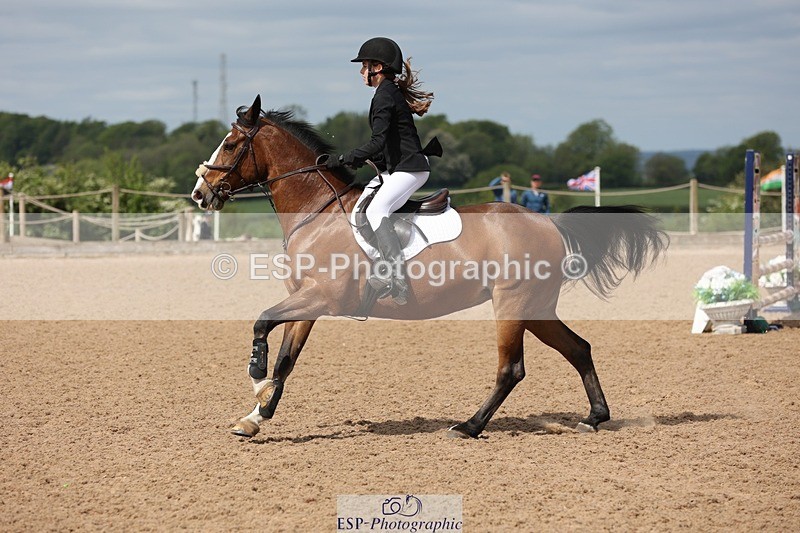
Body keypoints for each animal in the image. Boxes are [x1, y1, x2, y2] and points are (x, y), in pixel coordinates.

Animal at [191, 95, 668, 439]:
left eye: (230, 144)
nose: (200, 193)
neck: (317, 212)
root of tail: (547, 222)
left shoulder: (322, 297)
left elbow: (262, 323)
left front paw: (255, 376)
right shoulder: (307, 303)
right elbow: (286, 360)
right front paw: (256, 415)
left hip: (512, 305)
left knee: (512, 369)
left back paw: (469, 426)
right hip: (535, 308)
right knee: (578, 348)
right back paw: (594, 417)